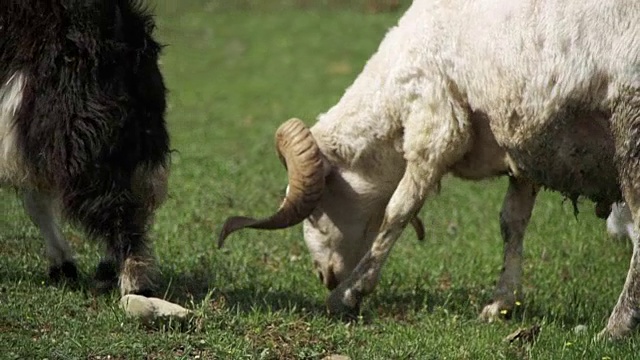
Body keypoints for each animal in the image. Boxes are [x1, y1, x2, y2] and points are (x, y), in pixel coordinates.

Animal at [219, 0, 640, 340]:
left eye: (315, 212)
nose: (324, 276)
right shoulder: (524, 146)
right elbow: (512, 224)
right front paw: (500, 305)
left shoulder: (434, 126)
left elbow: (397, 211)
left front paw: (348, 296)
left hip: (630, 126)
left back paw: (616, 327)